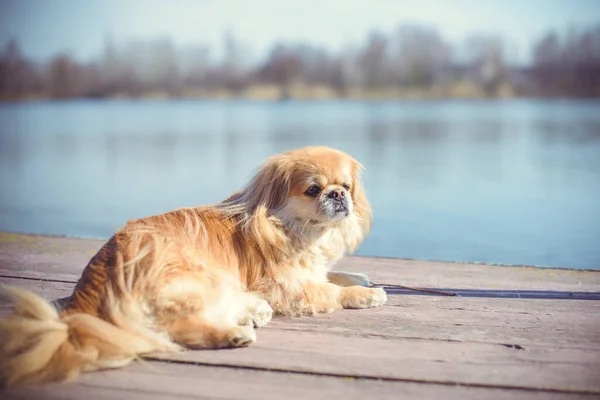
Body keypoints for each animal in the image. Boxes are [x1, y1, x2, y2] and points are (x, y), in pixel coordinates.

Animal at [0, 145, 386, 390]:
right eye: (313, 190)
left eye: (346, 186)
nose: (338, 195)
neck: (297, 229)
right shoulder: (287, 287)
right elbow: (330, 290)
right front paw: (367, 294)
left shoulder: (306, 269)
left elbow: (331, 274)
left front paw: (361, 277)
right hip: (204, 274)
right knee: (174, 328)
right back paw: (235, 334)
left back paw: (249, 314)